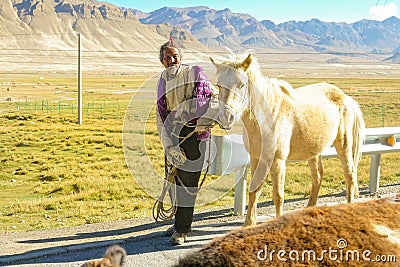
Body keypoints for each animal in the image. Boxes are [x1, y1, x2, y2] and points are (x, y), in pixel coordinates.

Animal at [211, 54, 364, 226]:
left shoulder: (277, 160)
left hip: (344, 144)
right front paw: (248, 223)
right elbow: (254, 190)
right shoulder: (256, 158)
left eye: (242, 84)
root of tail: (345, 98)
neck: (267, 116)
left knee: (349, 174)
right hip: (314, 151)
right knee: (317, 177)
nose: (226, 117)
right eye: (219, 85)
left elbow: (278, 195)